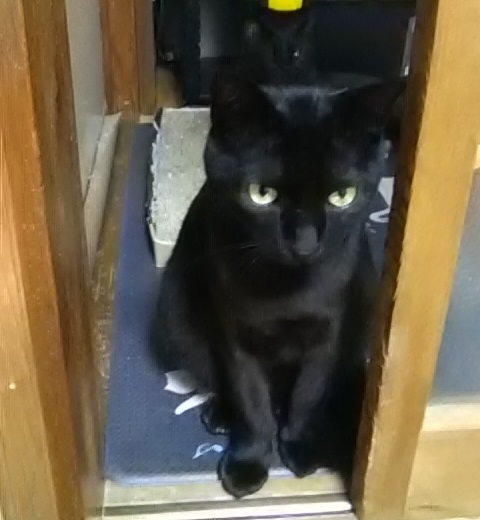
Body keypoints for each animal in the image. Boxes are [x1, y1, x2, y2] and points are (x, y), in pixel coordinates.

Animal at [155, 70, 404, 498]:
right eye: (261, 194)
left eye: (342, 195)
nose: (304, 242)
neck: (287, 290)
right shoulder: (236, 336)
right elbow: (251, 400)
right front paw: (249, 463)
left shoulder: (328, 331)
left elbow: (308, 393)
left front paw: (300, 446)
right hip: (176, 320)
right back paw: (220, 415)